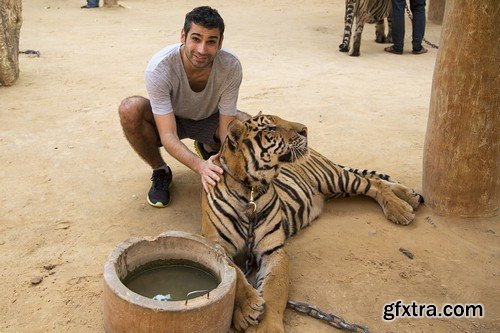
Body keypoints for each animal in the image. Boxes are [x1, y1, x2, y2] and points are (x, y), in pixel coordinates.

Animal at [199, 113, 422, 330]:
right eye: (270, 128)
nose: (305, 129)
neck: (250, 189)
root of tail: (317, 153)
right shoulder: (218, 246)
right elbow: (236, 275)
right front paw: (246, 308)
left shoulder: (273, 250)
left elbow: (274, 291)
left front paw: (267, 325)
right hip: (337, 189)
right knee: (376, 181)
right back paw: (410, 197)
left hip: (334, 179)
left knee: (373, 183)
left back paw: (401, 208)